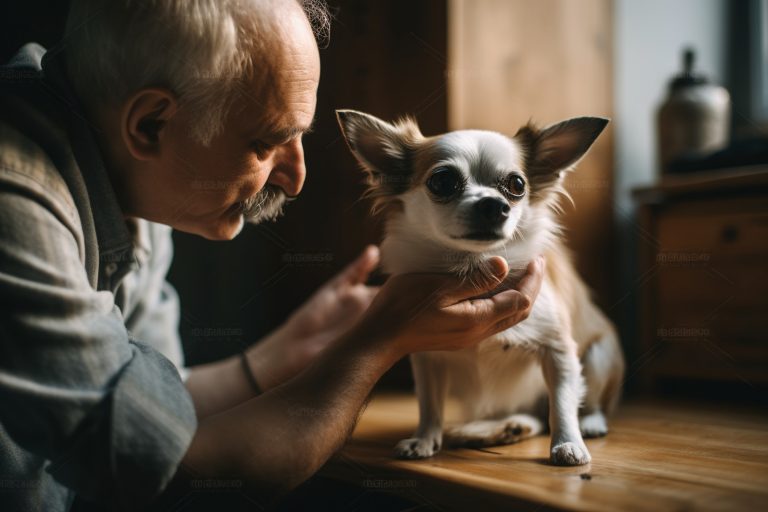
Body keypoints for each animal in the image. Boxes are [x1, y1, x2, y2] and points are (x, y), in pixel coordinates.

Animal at [336, 110, 624, 466]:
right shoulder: (428, 357)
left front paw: (568, 443)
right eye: (442, 181)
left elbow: (562, 404)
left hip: (600, 353)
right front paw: (424, 439)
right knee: (534, 418)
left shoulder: (559, 350)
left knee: (578, 403)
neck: (474, 267)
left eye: (516, 185)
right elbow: (429, 405)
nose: (493, 204)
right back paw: (503, 428)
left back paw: (590, 422)